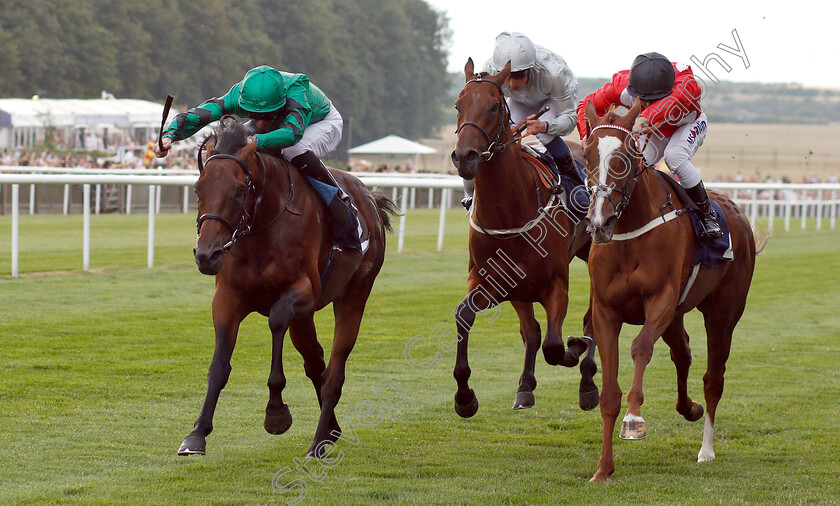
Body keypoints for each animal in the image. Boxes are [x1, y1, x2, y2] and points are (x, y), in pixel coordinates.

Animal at [180, 117, 398, 458]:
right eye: (197, 188)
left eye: (239, 189)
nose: (207, 254)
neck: (261, 226)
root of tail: (370, 201)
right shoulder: (227, 297)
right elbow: (218, 365)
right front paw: (196, 433)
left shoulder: (303, 293)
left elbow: (276, 319)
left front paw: (276, 413)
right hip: (306, 318)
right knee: (315, 361)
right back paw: (330, 431)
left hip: (355, 293)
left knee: (334, 370)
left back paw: (318, 441)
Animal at [450, 57, 600, 418]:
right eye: (458, 105)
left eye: (493, 106)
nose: (465, 156)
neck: (509, 212)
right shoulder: (490, 281)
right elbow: (464, 317)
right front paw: (465, 397)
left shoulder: (557, 284)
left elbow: (556, 346)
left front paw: (576, 349)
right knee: (532, 332)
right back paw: (525, 387)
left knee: (591, 320)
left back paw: (588, 383)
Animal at [580, 99, 764, 482]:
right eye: (587, 154)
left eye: (627, 155)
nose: (600, 222)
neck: (629, 234)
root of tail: (736, 210)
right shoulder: (606, 311)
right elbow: (609, 393)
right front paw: (603, 469)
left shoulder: (660, 301)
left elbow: (640, 347)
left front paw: (634, 419)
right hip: (678, 315)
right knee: (684, 354)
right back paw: (689, 408)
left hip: (722, 314)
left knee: (713, 377)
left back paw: (706, 449)